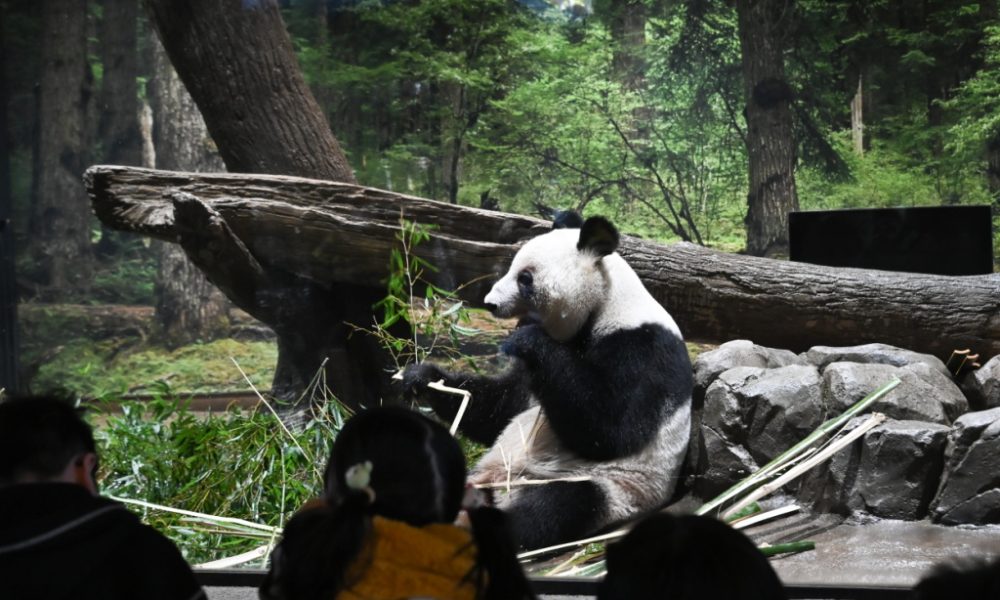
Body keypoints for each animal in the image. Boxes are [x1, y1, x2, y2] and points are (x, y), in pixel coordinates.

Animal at [403, 213, 692, 550]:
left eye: (525, 278)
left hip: (613, 487)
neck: (605, 304)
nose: (490, 303)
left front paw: (525, 338)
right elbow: (501, 408)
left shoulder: (643, 346)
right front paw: (421, 378)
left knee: (556, 506)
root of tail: (497, 489)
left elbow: (612, 429)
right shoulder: (535, 376)